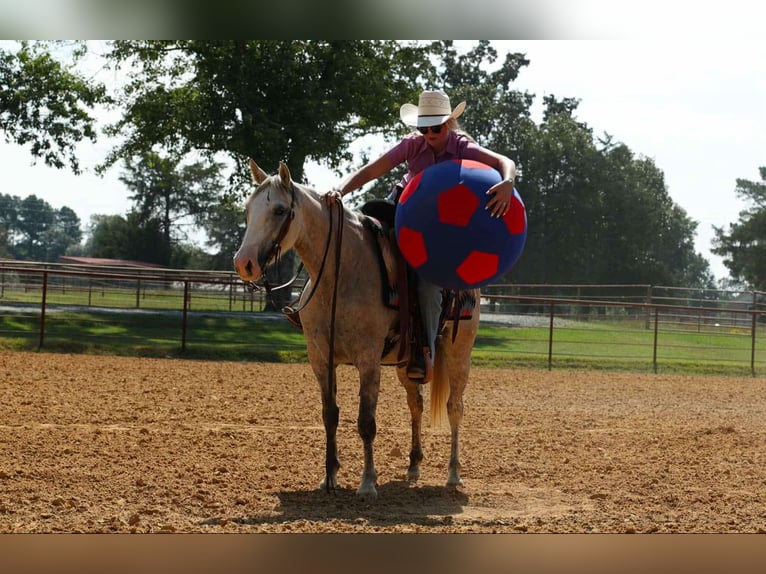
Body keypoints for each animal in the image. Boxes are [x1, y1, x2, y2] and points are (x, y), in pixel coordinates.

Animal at [233, 159, 480, 499]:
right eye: (247, 209)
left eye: (280, 210)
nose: (244, 263)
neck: (341, 273)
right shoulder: (320, 358)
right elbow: (330, 415)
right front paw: (329, 477)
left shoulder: (368, 359)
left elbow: (366, 421)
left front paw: (367, 482)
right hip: (407, 362)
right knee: (415, 405)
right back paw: (413, 466)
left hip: (459, 354)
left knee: (455, 407)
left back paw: (454, 474)